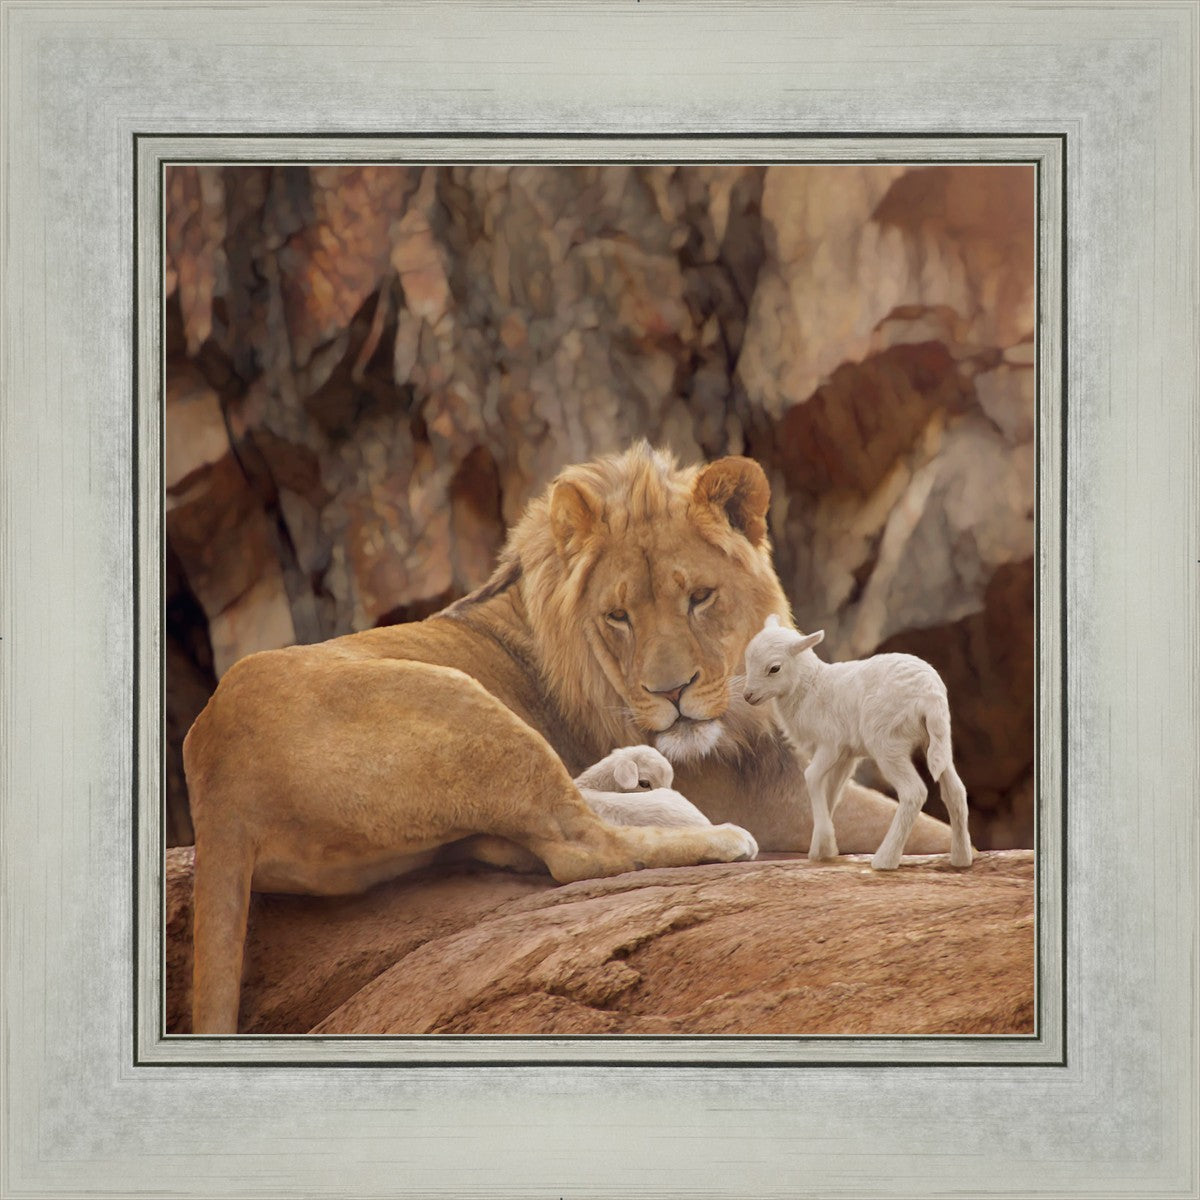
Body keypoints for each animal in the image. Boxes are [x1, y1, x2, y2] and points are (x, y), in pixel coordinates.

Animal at [742, 615, 973, 870]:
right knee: (955, 791)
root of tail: (930, 695)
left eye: (774, 668)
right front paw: (823, 848)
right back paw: (961, 858)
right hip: (937, 739)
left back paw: (885, 859)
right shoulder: (846, 755)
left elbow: (811, 777)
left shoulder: (830, 744)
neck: (810, 687)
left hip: (887, 742)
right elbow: (831, 791)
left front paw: (823, 843)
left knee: (914, 792)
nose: (748, 696)